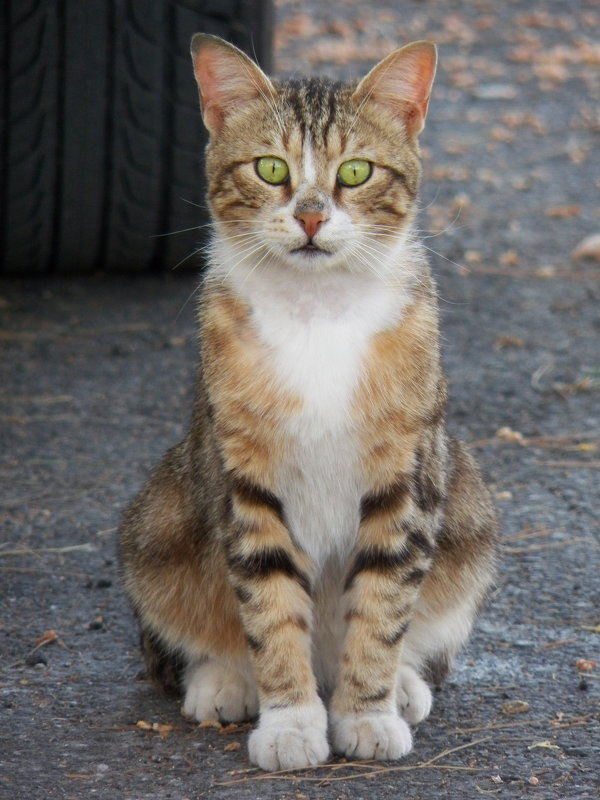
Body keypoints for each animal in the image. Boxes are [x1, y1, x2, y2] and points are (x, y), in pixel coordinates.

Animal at [118, 34, 496, 772]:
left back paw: (403, 685)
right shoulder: (245, 474)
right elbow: (269, 603)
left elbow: (382, 603)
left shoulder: (407, 471)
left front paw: (368, 712)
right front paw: (291, 721)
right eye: (270, 168)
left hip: (468, 507)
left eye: (355, 171)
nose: (312, 214)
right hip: (160, 519)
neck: (319, 311)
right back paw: (223, 680)